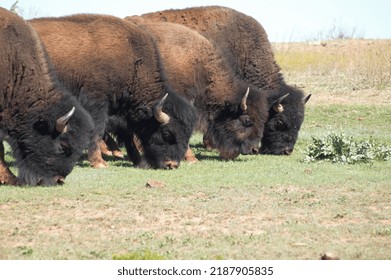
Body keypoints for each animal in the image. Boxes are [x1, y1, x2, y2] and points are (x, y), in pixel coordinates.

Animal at [29, 14, 198, 168]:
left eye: (187, 135)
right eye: (167, 134)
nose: (172, 164)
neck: (132, 62)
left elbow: (127, 133)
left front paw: (139, 161)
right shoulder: (97, 102)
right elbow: (98, 129)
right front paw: (99, 162)